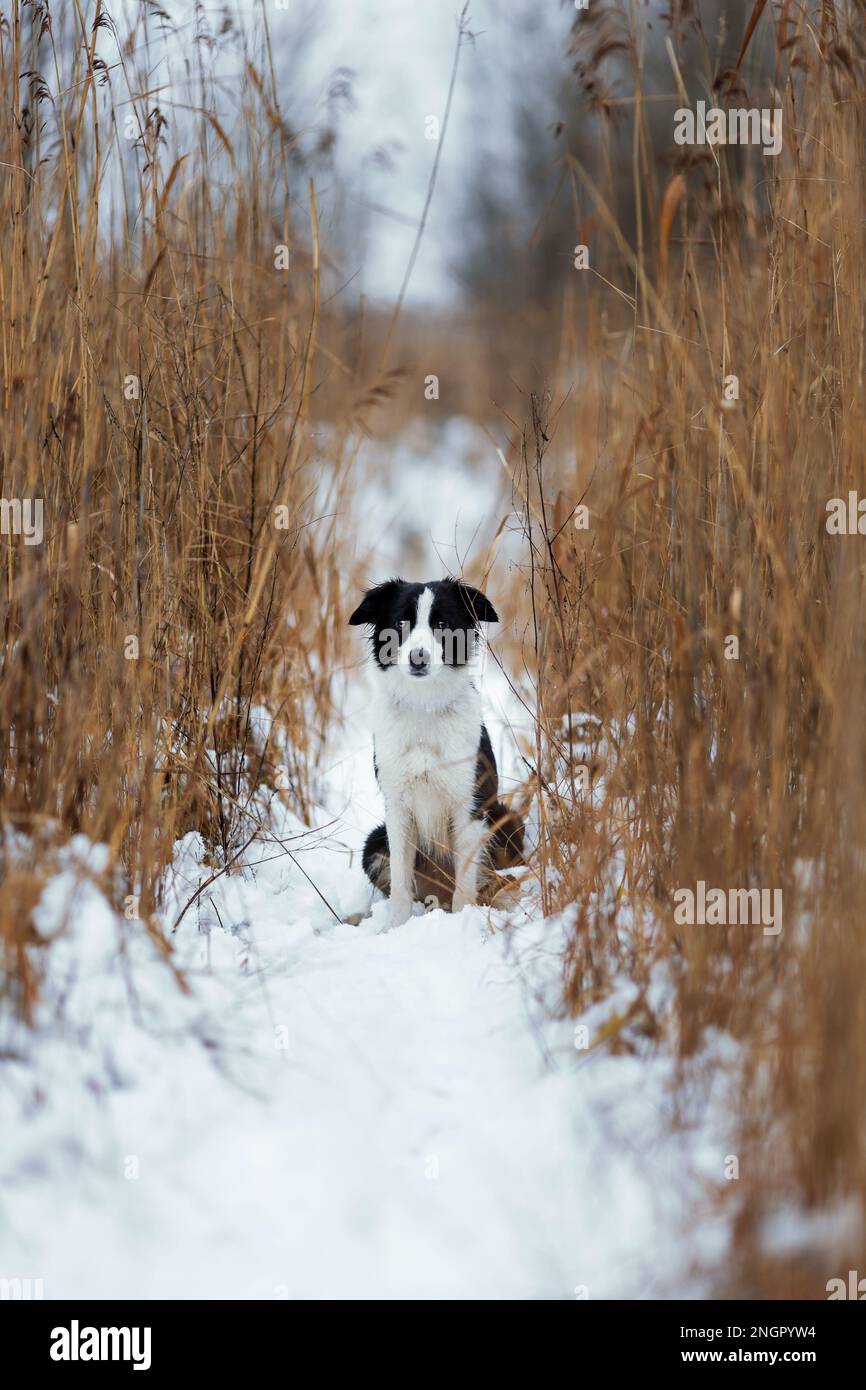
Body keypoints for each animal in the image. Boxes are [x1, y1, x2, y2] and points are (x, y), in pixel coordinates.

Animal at [348, 575, 525, 922]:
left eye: (442, 624)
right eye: (401, 622)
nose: (418, 657)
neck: (424, 706)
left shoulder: (469, 804)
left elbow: (466, 882)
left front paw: (463, 919)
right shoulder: (397, 805)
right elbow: (401, 881)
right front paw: (395, 926)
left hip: (505, 818)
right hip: (373, 841)